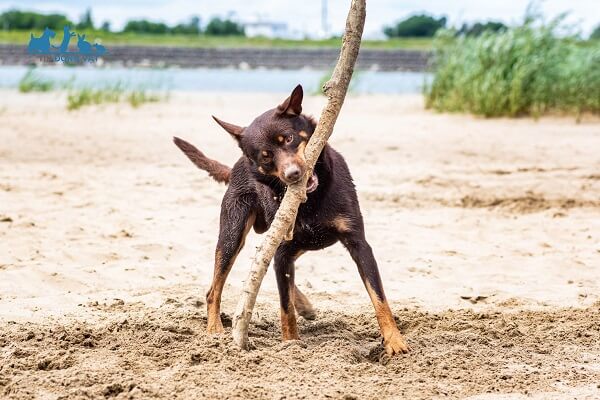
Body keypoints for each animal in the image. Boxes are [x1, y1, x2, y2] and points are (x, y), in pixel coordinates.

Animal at [171, 85, 410, 356]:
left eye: (287, 139)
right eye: (265, 156)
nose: (293, 174)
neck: (311, 200)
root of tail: (235, 168)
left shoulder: (358, 244)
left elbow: (379, 298)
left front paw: (394, 341)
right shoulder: (283, 248)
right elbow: (285, 310)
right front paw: (291, 345)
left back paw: (303, 304)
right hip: (233, 234)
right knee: (215, 289)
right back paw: (214, 330)